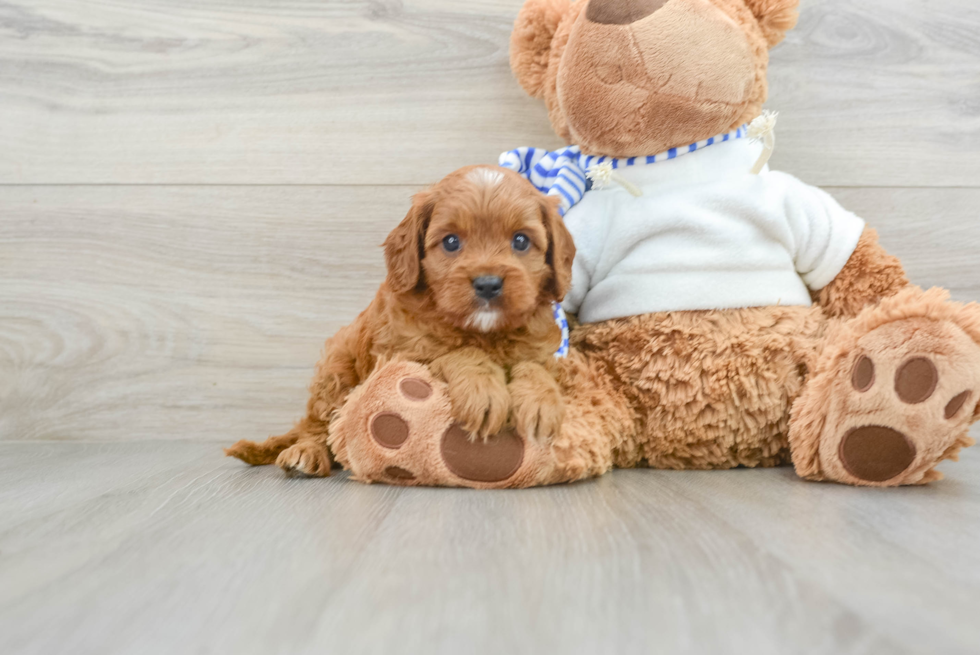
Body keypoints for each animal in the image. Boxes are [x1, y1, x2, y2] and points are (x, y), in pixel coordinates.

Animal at [224, 165, 576, 476]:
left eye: (521, 241)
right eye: (451, 242)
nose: (488, 284)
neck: (484, 332)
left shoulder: (545, 352)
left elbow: (534, 366)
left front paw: (541, 401)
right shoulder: (403, 354)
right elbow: (460, 353)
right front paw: (484, 392)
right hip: (336, 370)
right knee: (318, 426)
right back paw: (306, 453)